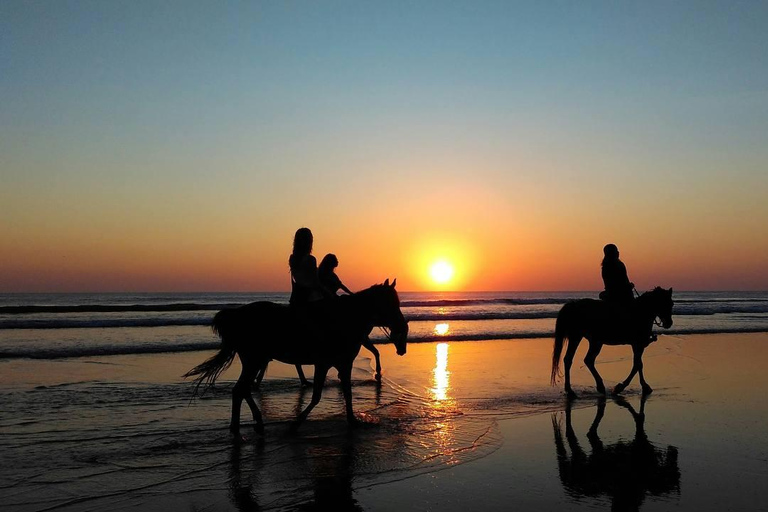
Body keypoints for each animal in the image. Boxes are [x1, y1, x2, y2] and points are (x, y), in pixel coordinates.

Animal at [185, 278, 408, 434]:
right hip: (254, 360)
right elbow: (318, 395)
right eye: (390, 303)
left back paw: (252, 423)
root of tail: (235, 315)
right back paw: (242, 426)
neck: (345, 318)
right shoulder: (325, 363)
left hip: (254, 360)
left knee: (242, 390)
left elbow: (346, 392)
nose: (402, 327)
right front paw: (296, 424)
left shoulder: (342, 364)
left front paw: (352, 421)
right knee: (241, 389)